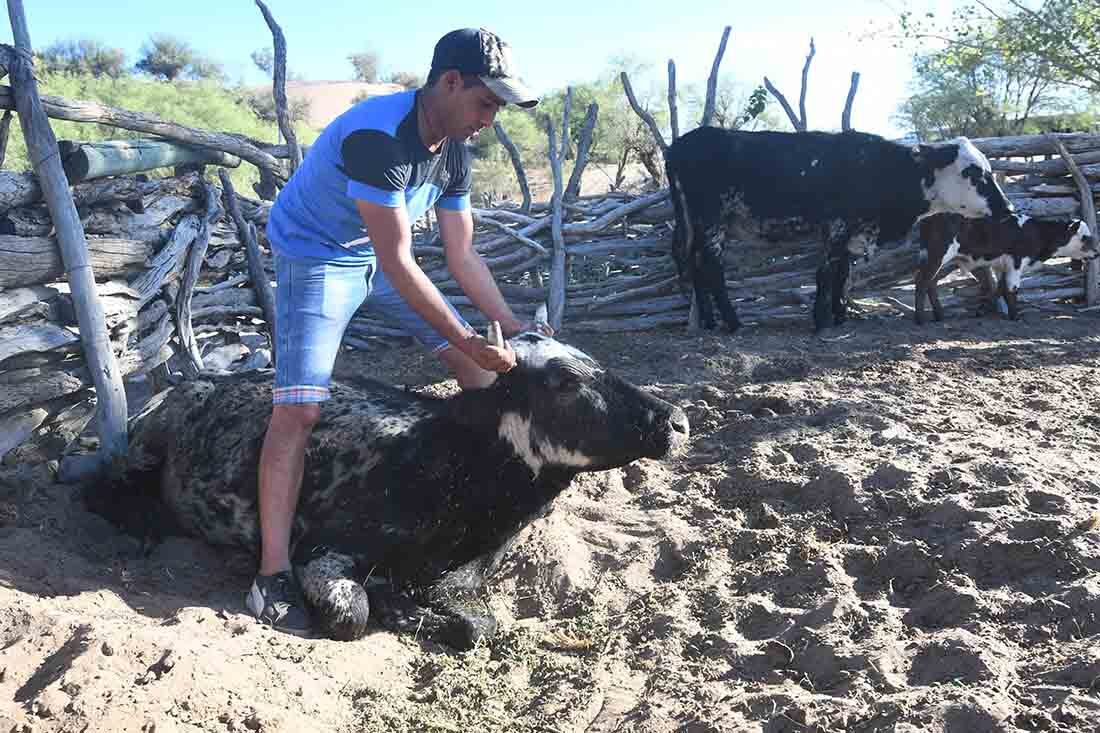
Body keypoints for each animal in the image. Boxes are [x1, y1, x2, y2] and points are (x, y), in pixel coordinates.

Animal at [85, 330, 686, 647]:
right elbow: (353, 614)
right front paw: (395, 609)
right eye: (563, 379)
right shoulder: (321, 552)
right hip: (144, 446)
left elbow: (480, 624)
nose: (675, 421)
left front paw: (409, 609)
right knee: (102, 482)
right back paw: (145, 523)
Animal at [660, 126, 1012, 330]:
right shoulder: (837, 227)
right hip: (711, 222)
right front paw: (821, 319)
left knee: (695, 264)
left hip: (696, 224)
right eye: (972, 172)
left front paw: (840, 314)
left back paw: (707, 320)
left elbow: (842, 274)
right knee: (712, 267)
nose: (1007, 208)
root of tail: (679, 145)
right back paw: (732, 322)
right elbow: (825, 273)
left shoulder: (853, 234)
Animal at [915, 210, 1095, 321]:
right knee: (922, 282)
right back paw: (920, 319)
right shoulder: (1016, 262)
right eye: (1085, 237)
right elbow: (1011, 289)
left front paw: (984, 311)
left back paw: (939, 315)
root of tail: (928, 219)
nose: (1096, 253)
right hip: (937, 256)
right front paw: (1015, 316)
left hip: (945, 261)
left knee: (931, 282)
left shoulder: (1003, 266)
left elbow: (999, 288)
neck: (1037, 232)